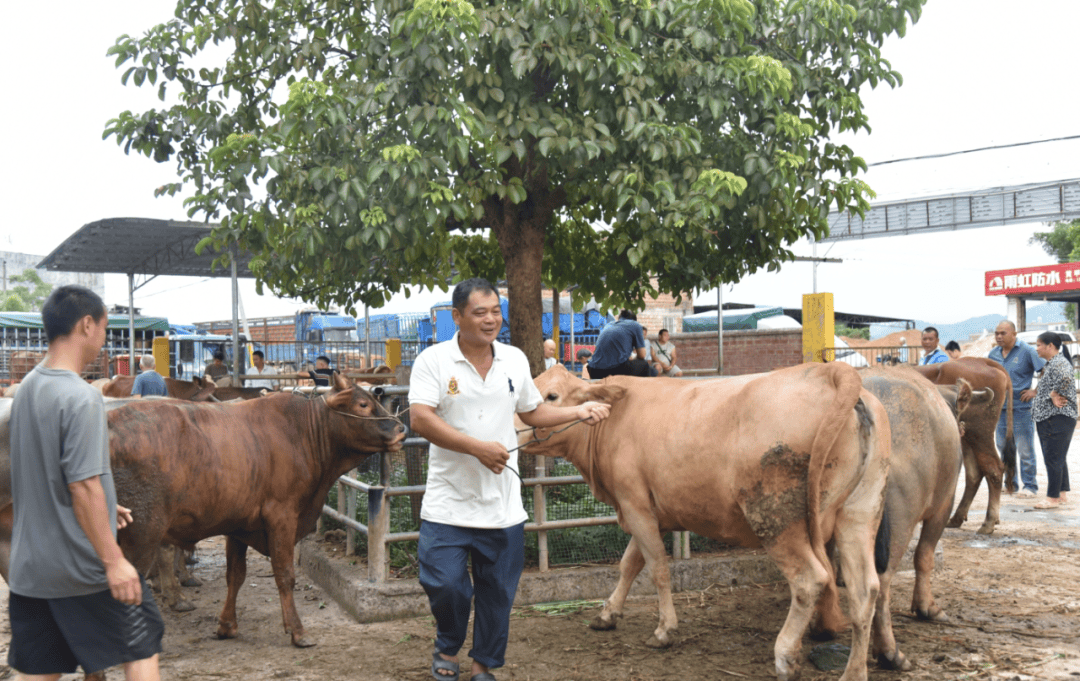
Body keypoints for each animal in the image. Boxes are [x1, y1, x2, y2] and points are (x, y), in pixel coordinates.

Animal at [106, 375, 406, 647]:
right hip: (141, 534)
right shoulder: (282, 517)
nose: (401, 428)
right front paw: (297, 631)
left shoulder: (238, 526)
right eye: (363, 404)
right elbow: (284, 575)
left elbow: (235, 576)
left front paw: (227, 625)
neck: (302, 432)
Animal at [520, 364, 885, 681]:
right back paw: (853, 672)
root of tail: (829, 371)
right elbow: (629, 564)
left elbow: (657, 568)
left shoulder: (635, 505)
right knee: (865, 590)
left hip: (777, 519)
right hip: (859, 514)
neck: (614, 418)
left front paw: (664, 630)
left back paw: (785, 657)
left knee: (810, 579)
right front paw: (607, 614)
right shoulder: (649, 511)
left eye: (552, 395)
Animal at [915, 353, 1015, 535]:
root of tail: (981, 360)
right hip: (967, 439)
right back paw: (957, 518)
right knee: (974, 473)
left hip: (980, 434)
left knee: (994, 469)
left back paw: (988, 522)